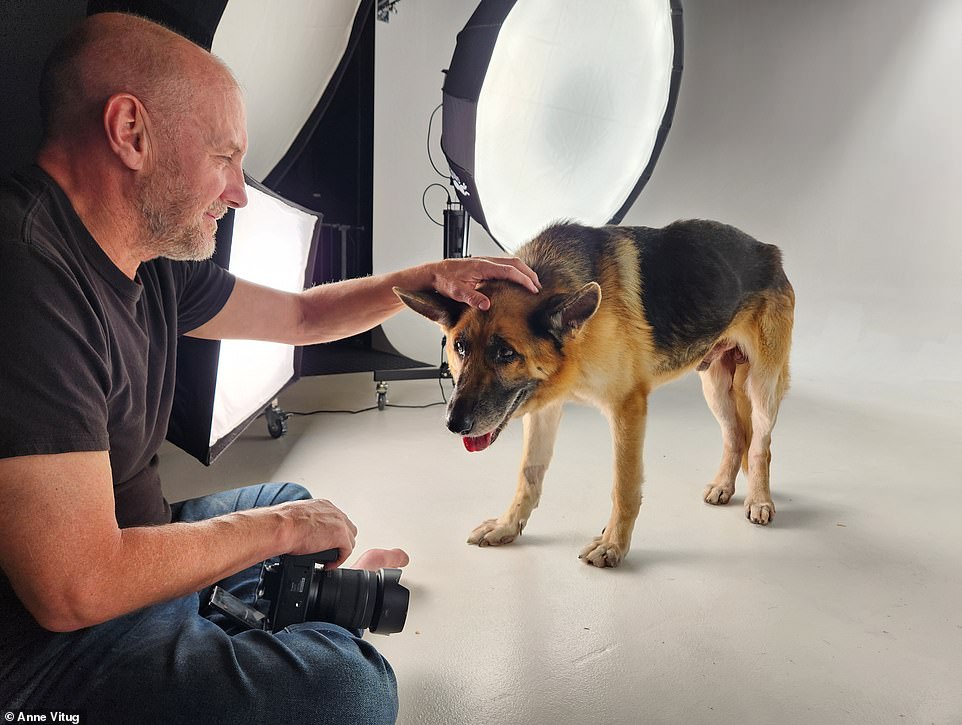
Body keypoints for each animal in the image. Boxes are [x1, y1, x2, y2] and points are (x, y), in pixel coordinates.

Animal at [394, 221, 792, 564]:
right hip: (716, 387)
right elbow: (528, 475)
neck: (578, 338)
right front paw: (508, 527)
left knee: (761, 444)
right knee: (735, 435)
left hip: (762, 387)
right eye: (460, 348)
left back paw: (759, 500)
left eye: (505, 353)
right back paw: (724, 486)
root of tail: (768, 250)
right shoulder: (543, 410)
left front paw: (613, 545)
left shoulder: (628, 409)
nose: (454, 424)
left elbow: (624, 486)